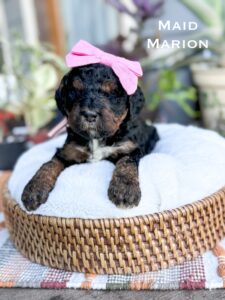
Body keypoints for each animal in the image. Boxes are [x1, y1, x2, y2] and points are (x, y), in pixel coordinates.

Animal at [21, 63, 158, 211]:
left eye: (111, 93)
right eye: (75, 91)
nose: (89, 115)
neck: (96, 138)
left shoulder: (131, 148)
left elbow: (126, 163)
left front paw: (125, 190)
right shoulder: (68, 151)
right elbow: (49, 164)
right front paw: (34, 189)